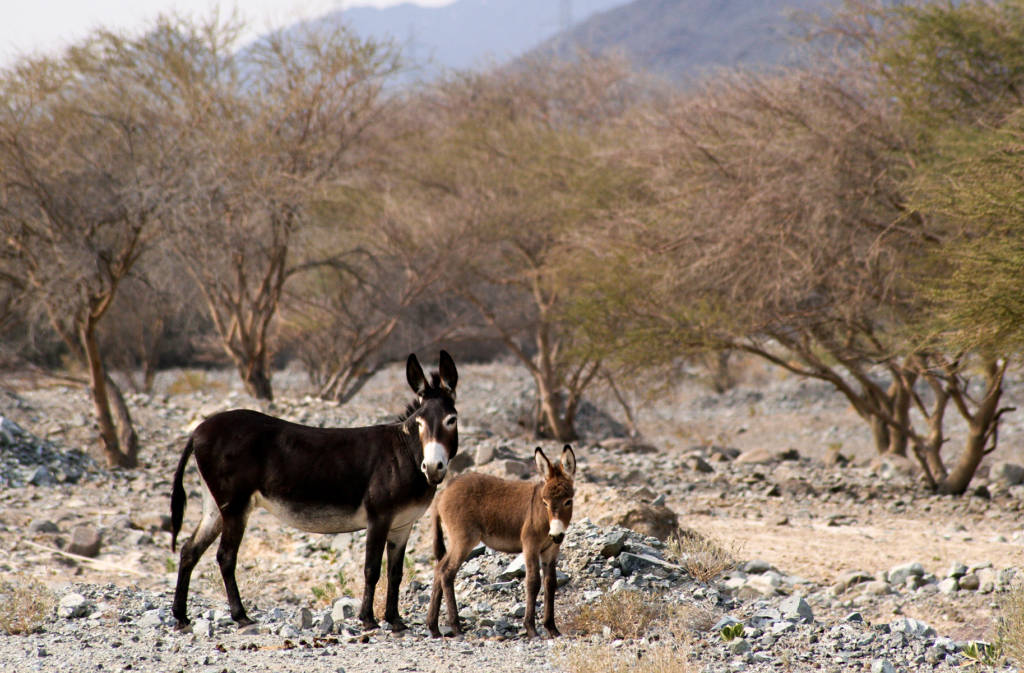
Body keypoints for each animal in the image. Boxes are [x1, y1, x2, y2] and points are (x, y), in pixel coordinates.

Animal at [425, 444, 577, 639]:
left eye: (568, 501)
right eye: (545, 502)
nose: (556, 534)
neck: (543, 516)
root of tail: (443, 492)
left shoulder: (551, 550)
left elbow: (550, 583)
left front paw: (552, 628)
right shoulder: (530, 546)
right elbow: (533, 582)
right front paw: (531, 629)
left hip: (458, 541)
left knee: (438, 568)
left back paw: (434, 627)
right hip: (464, 540)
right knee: (446, 572)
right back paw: (456, 626)